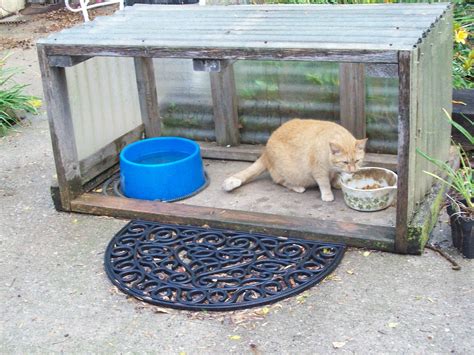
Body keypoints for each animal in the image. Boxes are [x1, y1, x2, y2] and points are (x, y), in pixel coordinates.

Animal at [222, 119, 366, 202]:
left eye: (357, 161)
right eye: (345, 162)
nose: (353, 170)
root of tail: (265, 151)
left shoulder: (334, 170)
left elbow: (335, 177)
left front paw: (337, 183)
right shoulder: (319, 171)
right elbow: (324, 184)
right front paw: (327, 194)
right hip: (289, 173)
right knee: (280, 181)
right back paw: (298, 187)